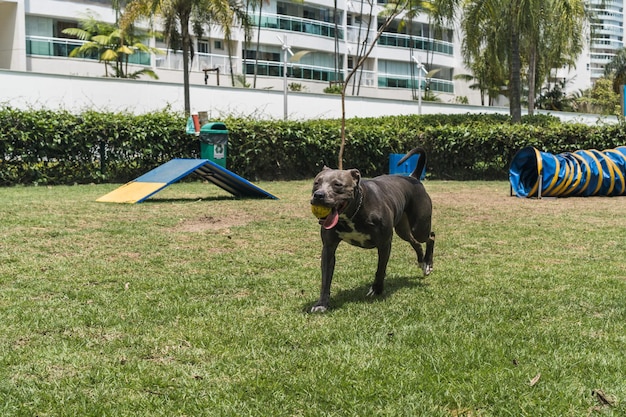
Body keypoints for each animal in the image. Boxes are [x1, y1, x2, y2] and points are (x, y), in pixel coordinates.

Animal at [308, 147, 434, 312]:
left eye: (338, 185)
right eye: (316, 183)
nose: (318, 195)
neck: (353, 213)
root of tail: (413, 178)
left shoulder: (384, 244)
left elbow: (380, 269)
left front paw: (377, 289)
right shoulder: (328, 248)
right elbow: (326, 278)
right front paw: (321, 304)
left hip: (419, 227)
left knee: (430, 236)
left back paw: (428, 264)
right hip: (404, 230)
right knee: (416, 243)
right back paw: (422, 262)